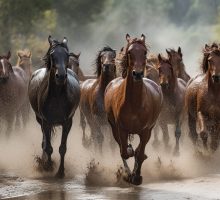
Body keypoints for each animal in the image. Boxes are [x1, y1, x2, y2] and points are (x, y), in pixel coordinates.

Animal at [28, 35, 81, 177]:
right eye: (52, 55)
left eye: (67, 55)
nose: (61, 76)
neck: (57, 96)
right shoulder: (46, 121)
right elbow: (48, 147)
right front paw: (48, 166)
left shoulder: (67, 122)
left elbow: (62, 148)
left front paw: (60, 172)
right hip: (39, 119)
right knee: (44, 141)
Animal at [104, 34, 162, 184]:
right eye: (130, 52)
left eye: (145, 52)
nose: (138, 74)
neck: (134, 103)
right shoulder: (121, 129)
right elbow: (124, 152)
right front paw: (130, 174)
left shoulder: (146, 131)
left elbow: (140, 153)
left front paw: (137, 176)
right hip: (113, 127)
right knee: (122, 149)